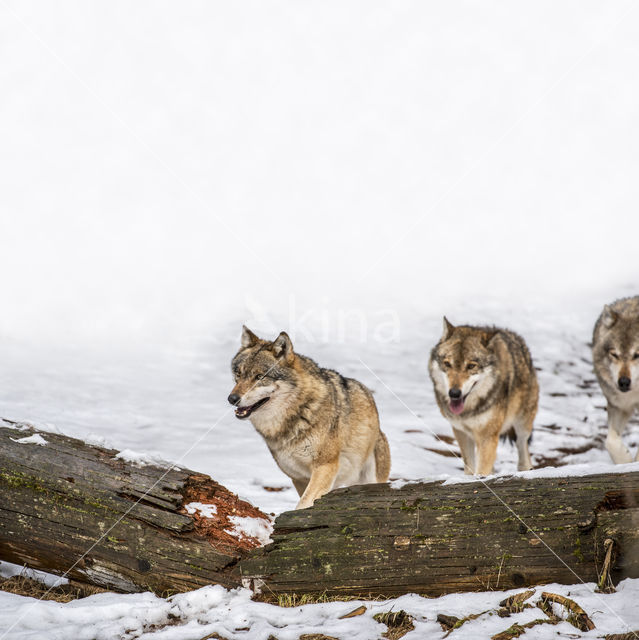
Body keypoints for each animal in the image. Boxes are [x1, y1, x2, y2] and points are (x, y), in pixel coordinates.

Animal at [228, 328, 392, 508]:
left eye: (259, 377)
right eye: (238, 374)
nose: (232, 398)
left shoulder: (325, 467)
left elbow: (303, 503)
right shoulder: (298, 478)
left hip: (369, 478)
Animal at [430, 316, 540, 476]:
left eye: (471, 366)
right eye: (447, 364)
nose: (454, 393)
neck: (469, 410)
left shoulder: (488, 436)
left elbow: (482, 470)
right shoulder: (461, 432)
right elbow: (470, 467)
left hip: (522, 424)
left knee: (523, 448)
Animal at [592, 298, 639, 462]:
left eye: (637, 355)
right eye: (614, 354)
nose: (623, 382)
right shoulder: (618, 406)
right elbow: (610, 441)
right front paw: (625, 461)